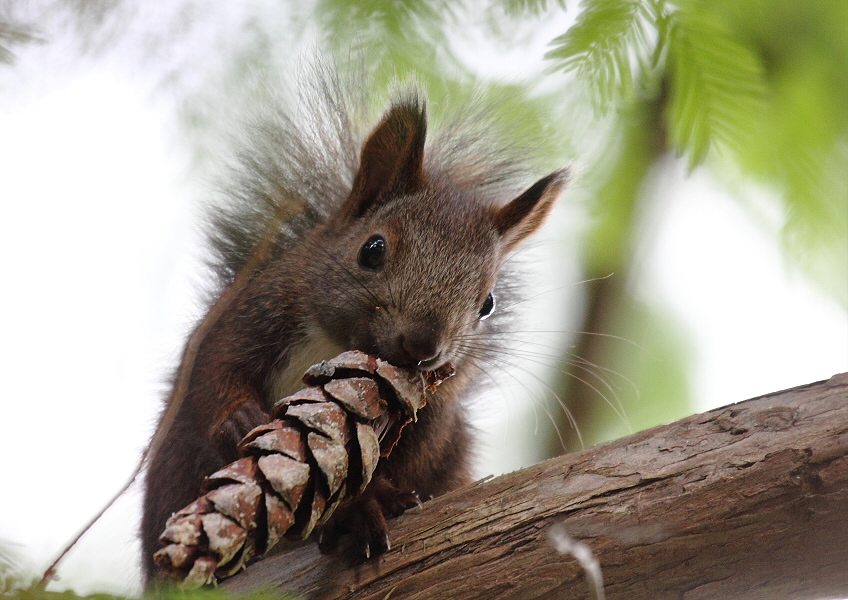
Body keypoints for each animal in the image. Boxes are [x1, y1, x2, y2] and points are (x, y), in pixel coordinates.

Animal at [141, 67, 568, 584]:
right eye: (373, 249)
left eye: (487, 303)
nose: (423, 345)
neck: (333, 343)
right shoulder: (246, 314)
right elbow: (212, 372)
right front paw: (237, 418)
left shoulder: (435, 412)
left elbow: (395, 464)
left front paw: (364, 506)